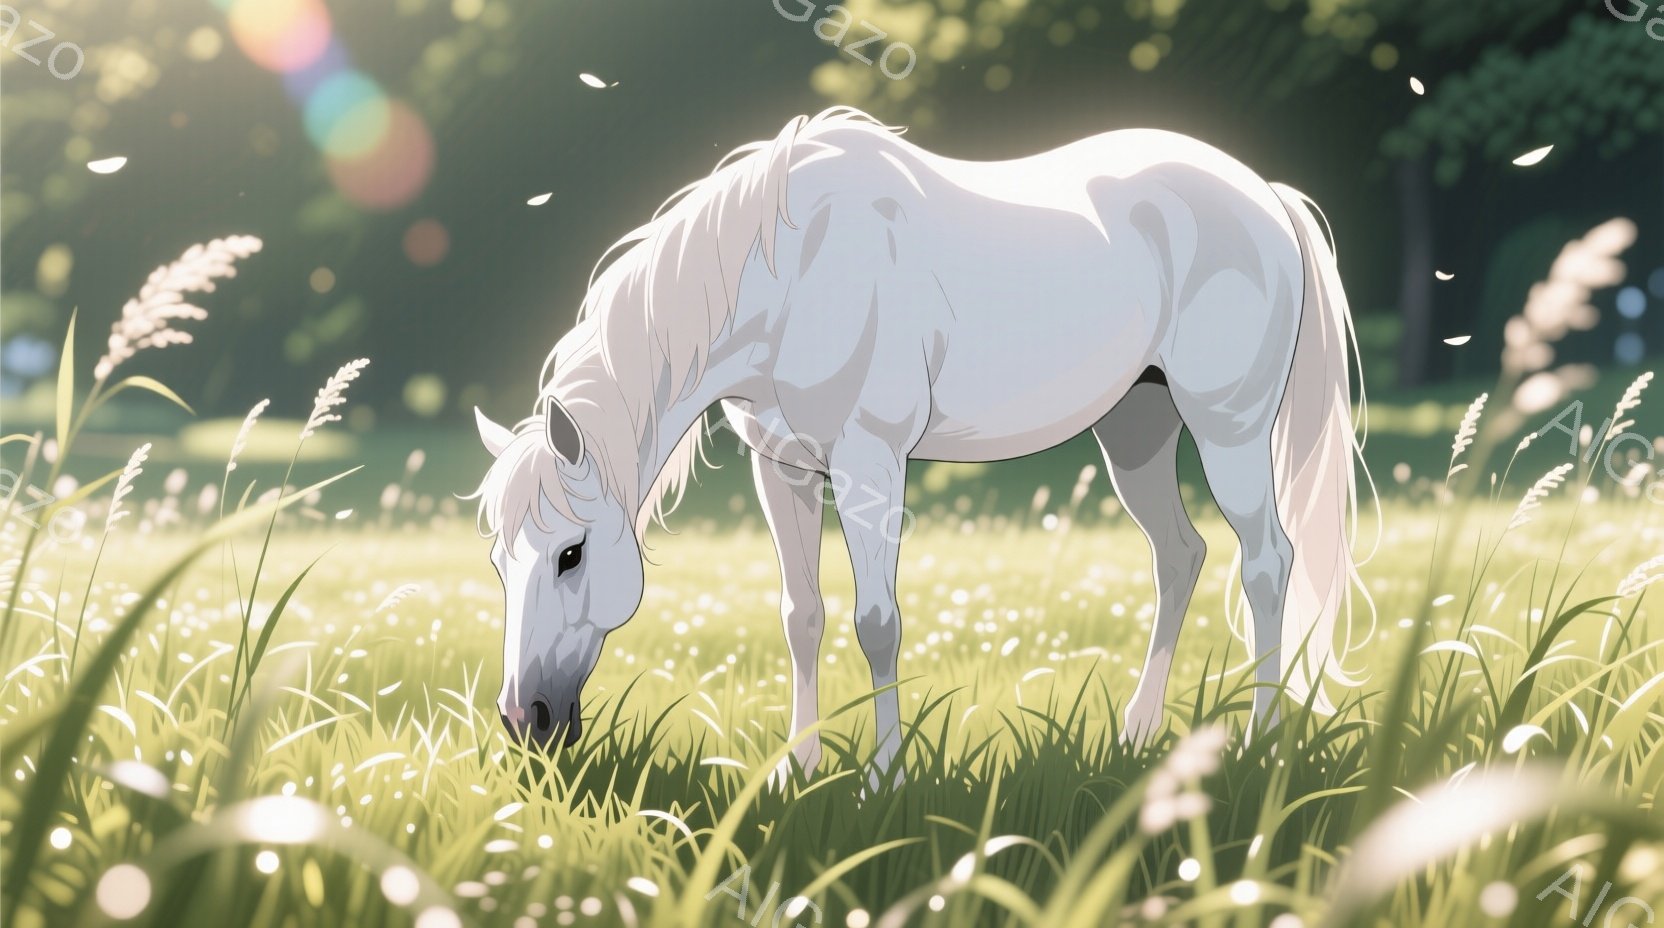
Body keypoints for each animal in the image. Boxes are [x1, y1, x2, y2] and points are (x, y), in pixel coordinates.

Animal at [470, 107, 1370, 787]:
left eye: (572, 554)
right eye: (498, 561)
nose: (523, 721)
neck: (793, 277)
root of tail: (1266, 196)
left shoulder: (870, 464)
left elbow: (877, 623)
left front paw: (885, 779)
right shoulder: (782, 468)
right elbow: (802, 617)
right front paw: (797, 769)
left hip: (1230, 429)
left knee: (1266, 563)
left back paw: (1258, 743)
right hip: (1137, 432)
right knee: (1180, 556)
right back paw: (1140, 733)